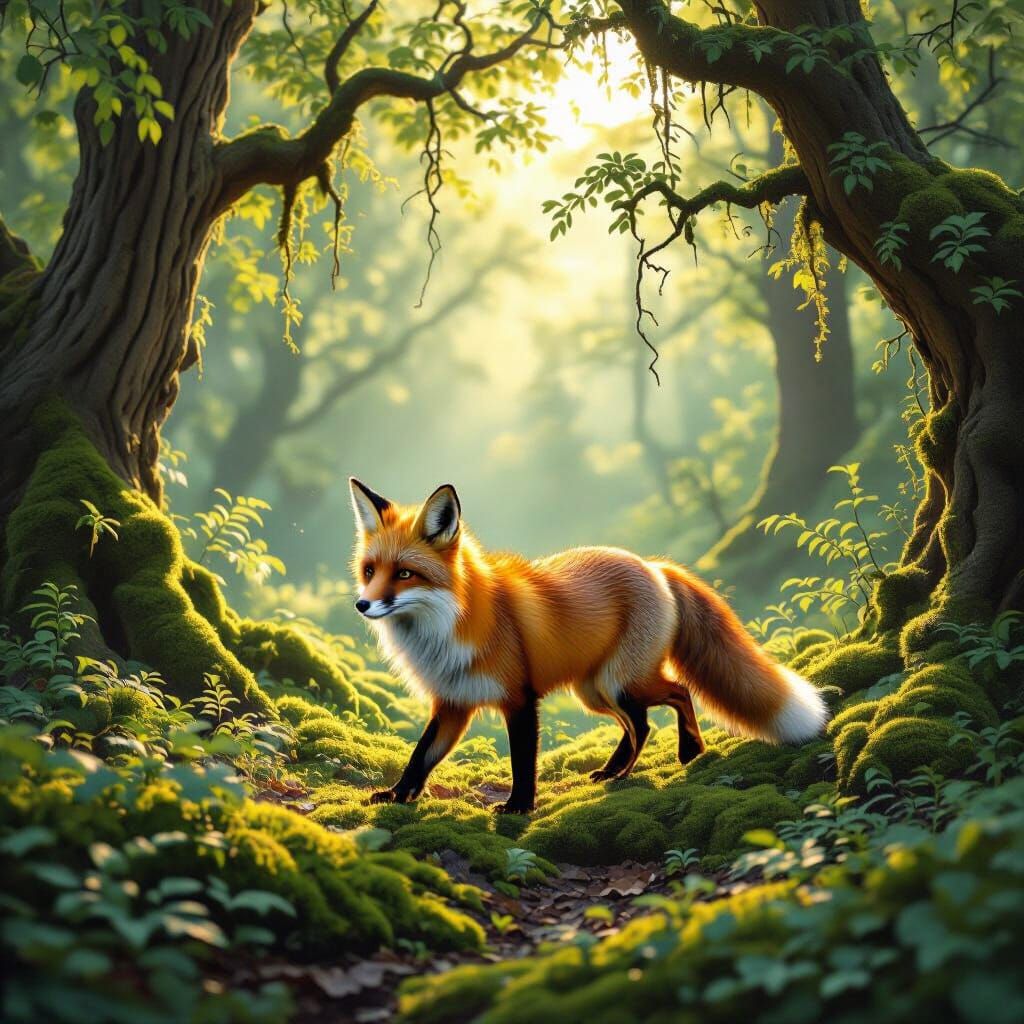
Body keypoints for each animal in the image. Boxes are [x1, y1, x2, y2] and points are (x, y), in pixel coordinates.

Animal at [349, 478, 829, 814]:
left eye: (405, 574)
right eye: (370, 570)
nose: (362, 604)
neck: (451, 625)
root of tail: (652, 565)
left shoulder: (519, 698)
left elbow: (523, 760)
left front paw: (519, 807)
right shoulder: (452, 703)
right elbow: (420, 756)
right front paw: (397, 795)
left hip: (620, 682)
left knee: (672, 697)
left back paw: (678, 755)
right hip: (595, 691)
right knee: (639, 723)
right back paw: (618, 770)